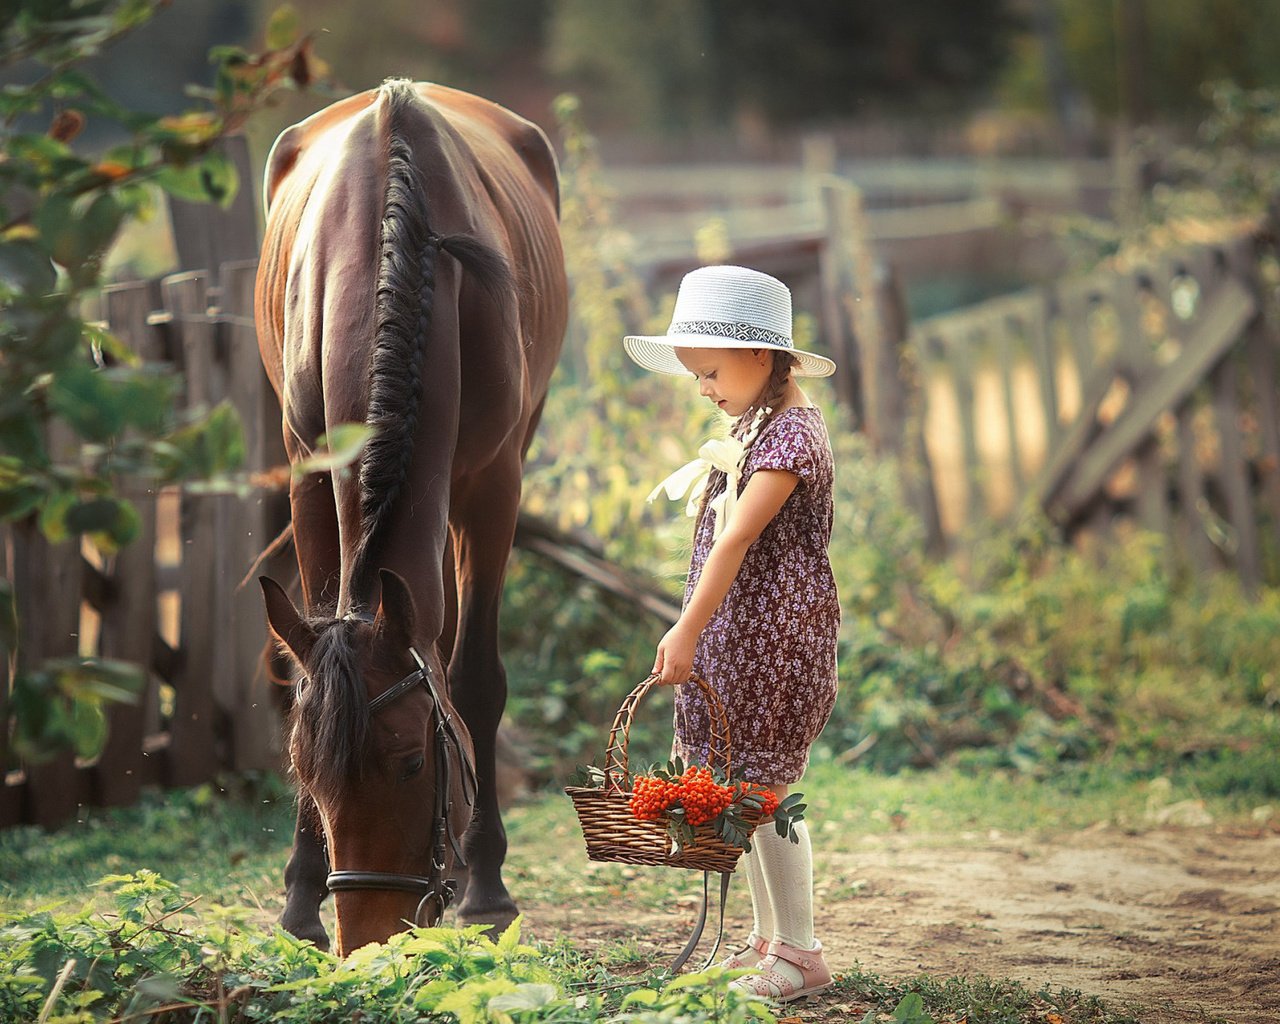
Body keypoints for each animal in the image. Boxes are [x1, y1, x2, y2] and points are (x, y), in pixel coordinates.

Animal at [252, 81, 568, 962]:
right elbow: (311, 661)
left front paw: (486, 889)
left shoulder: (495, 486)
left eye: (410, 764)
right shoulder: (308, 473)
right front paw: (299, 898)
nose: (366, 942)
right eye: (307, 771)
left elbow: (474, 680)